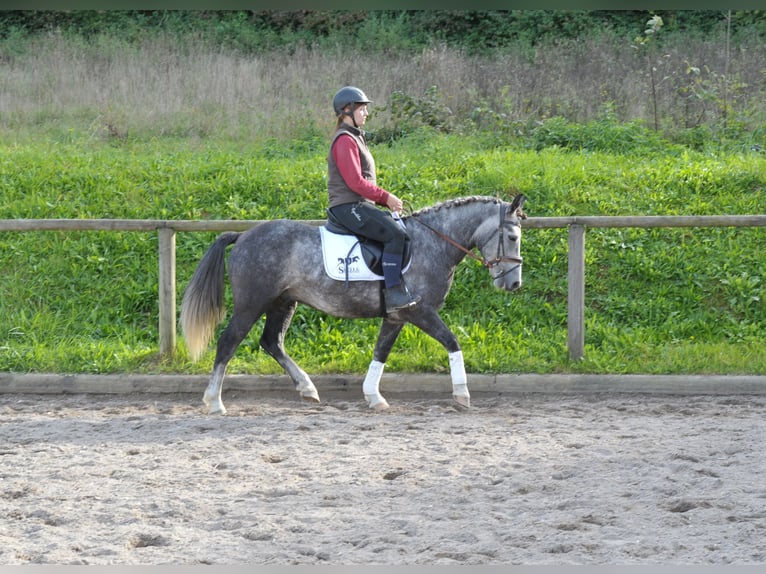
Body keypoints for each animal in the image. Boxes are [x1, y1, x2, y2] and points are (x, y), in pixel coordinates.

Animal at [180, 196, 528, 416]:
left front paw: (374, 397)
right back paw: (215, 402)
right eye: (512, 237)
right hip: (252, 304)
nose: (513, 284)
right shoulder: (418, 310)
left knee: (272, 341)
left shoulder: (396, 316)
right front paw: (462, 394)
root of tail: (243, 236)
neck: (434, 243)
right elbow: (452, 342)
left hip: (283, 302)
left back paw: (307, 389)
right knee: (228, 342)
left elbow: (380, 352)